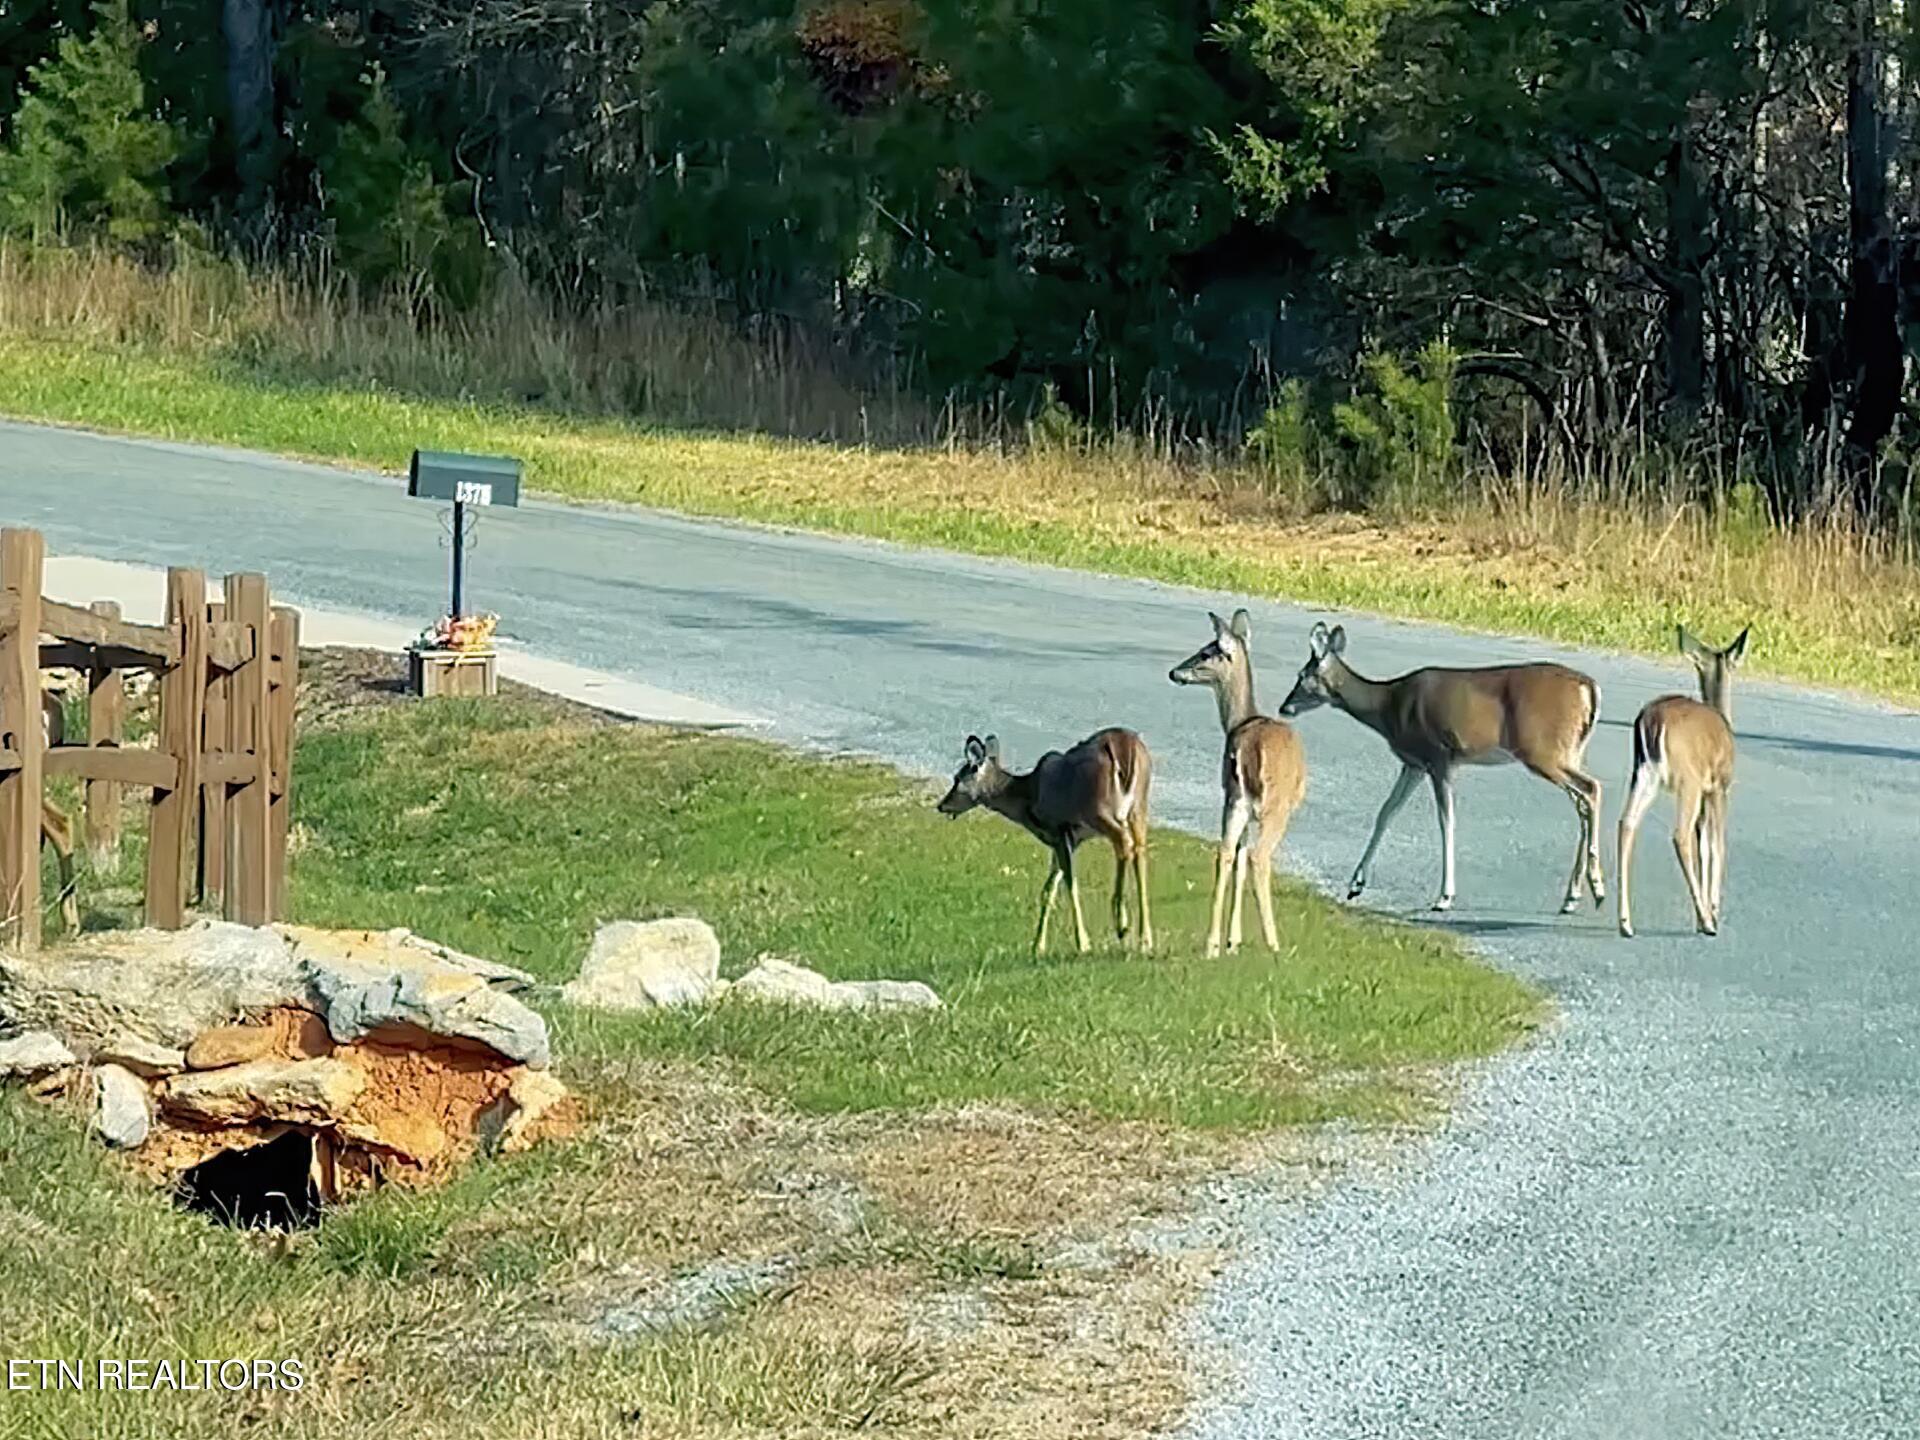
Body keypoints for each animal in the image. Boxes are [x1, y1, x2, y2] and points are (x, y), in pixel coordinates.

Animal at [936, 728, 1153, 955]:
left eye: (957, 778)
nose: (942, 805)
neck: (1027, 799)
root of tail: (1126, 748)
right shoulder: (1065, 840)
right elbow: (1048, 889)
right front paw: (1037, 946)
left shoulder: (1059, 829)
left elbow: (1070, 884)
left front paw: (1083, 943)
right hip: (1139, 806)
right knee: (1139, 851)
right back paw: (1145, 939)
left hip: (1098, 808)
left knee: (1124, 843)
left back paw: (1121, 922)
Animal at [1168, 608, 1307, 956]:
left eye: (1205, 653)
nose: (1174, 672)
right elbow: (1247, 859)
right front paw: (1236, 940)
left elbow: (1238, 860)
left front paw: (1232, 940)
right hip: (1274, 806)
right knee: (1259, 857)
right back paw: (1273, 943)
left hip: (1235, 799)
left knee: (1226, 853)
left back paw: (1211, 945)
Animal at [1278, 622, 1604, 914]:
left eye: (1302, 675)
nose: (1285, 707)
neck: (1387, 708)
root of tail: (1589, 688)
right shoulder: (1413, 763)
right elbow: (1386, 811)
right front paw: (1355, 883)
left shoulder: (1440, 757)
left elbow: (1446, 820)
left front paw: (1445, 897)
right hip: (1570, 751)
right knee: (1582, 804)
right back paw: (1572, 897)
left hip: (1542, 750)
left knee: (1591, 789)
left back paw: (1597, 887)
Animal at [1616, 625, 1749, 939]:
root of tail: (1650, 722)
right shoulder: (1718, 786)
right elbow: (1716, 844)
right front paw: (1712, 912)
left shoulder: (1705, 791)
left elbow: (1705, 844)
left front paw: (1703, 912)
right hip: (1687, 780)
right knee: (1680, 835)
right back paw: (1706, 921)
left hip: (1643, 774)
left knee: (1626, 823)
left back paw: (1626, 923)